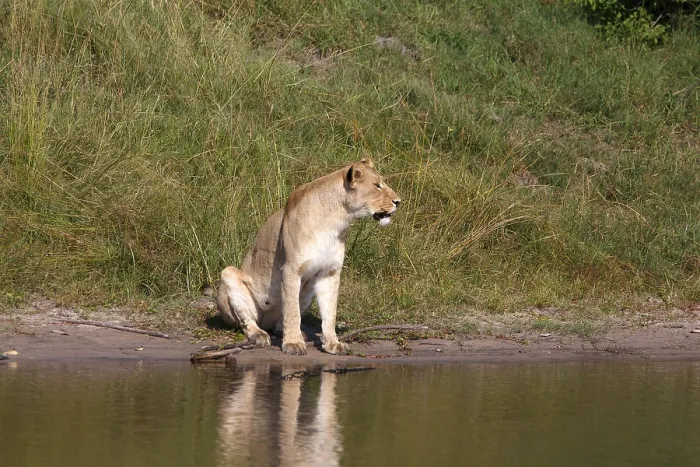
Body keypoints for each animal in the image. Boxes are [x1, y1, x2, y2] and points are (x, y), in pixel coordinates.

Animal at [217, 158, 400, 355]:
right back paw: (259, 335)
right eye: (377, 186)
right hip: (229, 274)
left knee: (279, 324)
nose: (398, 201)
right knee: (247, 321)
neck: (338, 220)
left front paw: (333, 344)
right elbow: (292, 311)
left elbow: (329, 313)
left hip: (307, 292)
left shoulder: (329, 272)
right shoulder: (291, 269)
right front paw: (293, 344)